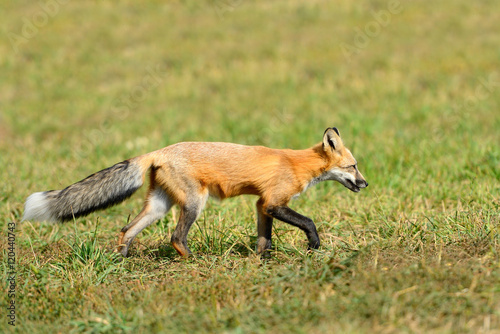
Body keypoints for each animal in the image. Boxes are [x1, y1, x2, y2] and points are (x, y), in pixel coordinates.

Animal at [22, 127, 368, 256]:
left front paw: (261, 260)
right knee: (175, 237)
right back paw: (193, 260)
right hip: (193, 203)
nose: (365, 184)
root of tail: (159, 150)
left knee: (126, 230)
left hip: (158, 206)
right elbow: (308, 221)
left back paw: (121, 259)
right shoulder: (273, 202)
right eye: (353, 167)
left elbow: (263, 238)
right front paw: (314, 245)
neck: (297, 164)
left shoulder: (261, 205)